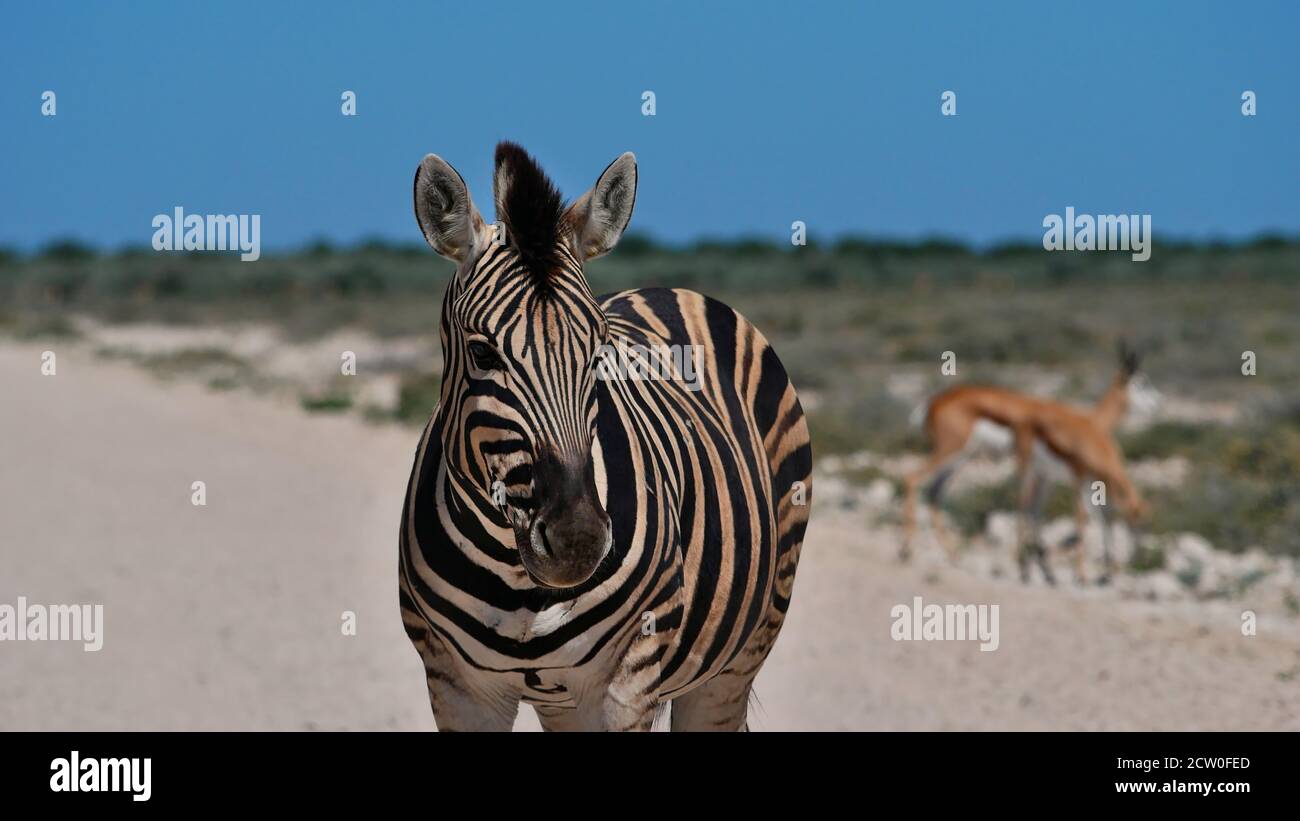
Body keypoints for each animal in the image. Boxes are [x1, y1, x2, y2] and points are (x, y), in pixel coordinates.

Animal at [397, 142, 811, 732]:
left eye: (598, 351)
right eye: (482, 353)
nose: (578, 541)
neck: (516, 577)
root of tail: (670, 289)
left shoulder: (626, 681)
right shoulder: (456, 685)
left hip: (739, 657)